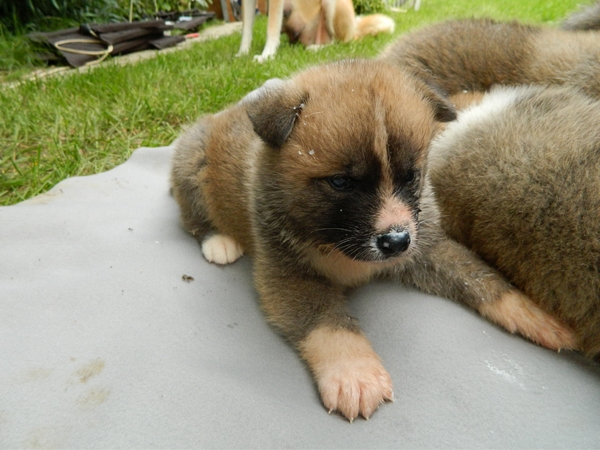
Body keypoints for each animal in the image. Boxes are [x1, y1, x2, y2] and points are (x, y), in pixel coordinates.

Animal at [171, 60, 577, 421]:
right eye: (341, 182)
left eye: (411, 175)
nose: (395, 241)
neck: (332, 241)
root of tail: (223, 113)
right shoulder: (288, 273)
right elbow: (326, 319)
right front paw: (354, 372)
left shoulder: (426, 245)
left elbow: (477, 275)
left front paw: (530, 313)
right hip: (190, 158)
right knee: (190, 215)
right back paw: (219, 241)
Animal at [238, 0, 395, 62]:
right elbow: (246, 29)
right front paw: (242, 52)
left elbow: (272, 27)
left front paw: (267, 55)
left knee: (337, 43)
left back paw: (314, 48)